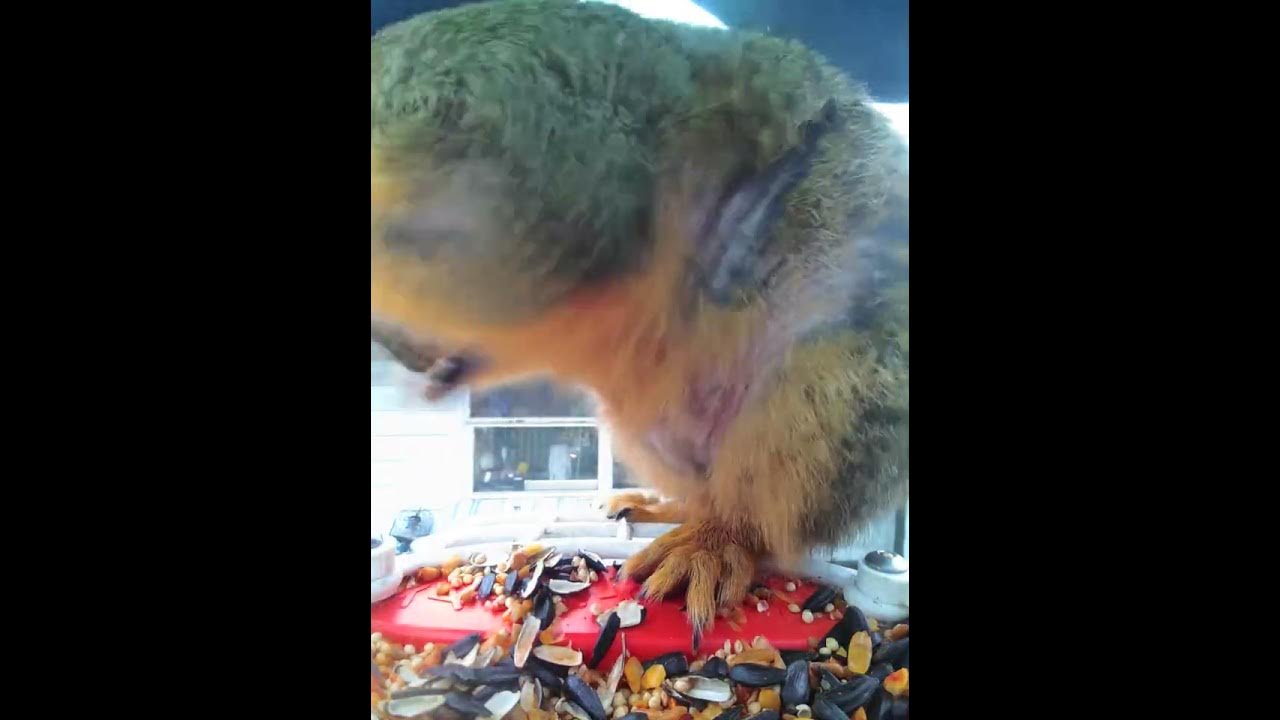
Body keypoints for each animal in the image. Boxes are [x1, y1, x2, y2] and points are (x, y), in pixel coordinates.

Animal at [371, 0, 908, 646]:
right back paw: (663, 509)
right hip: (655, 432)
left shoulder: (546, 160)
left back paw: (712, 544)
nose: (408, 355)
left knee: (759, 516)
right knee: (705, 487)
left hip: (827, 404)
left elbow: (519, 282)